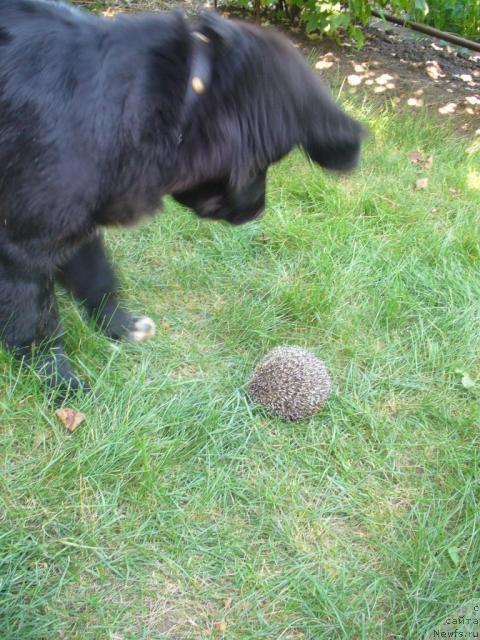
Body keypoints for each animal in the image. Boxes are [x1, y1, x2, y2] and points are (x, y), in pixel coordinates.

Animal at [0, 0, 362, 398]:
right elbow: (38, 323)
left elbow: (96, 276)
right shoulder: (25, 241)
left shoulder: (78, 216)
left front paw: (119, 326)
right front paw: (58, 380)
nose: (258, 210)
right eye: (261, 163)